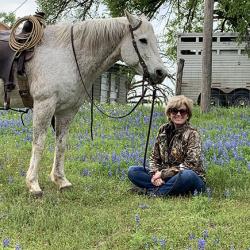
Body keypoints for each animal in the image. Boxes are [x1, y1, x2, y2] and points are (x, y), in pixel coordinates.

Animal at [0, 11, 168, 195]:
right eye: (143, 40)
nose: (161, 73)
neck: (66, 56)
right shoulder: (44, 105)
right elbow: (39, 144)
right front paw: (33, 184)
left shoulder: (67, 111)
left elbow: (61, 144)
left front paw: (60, 180)